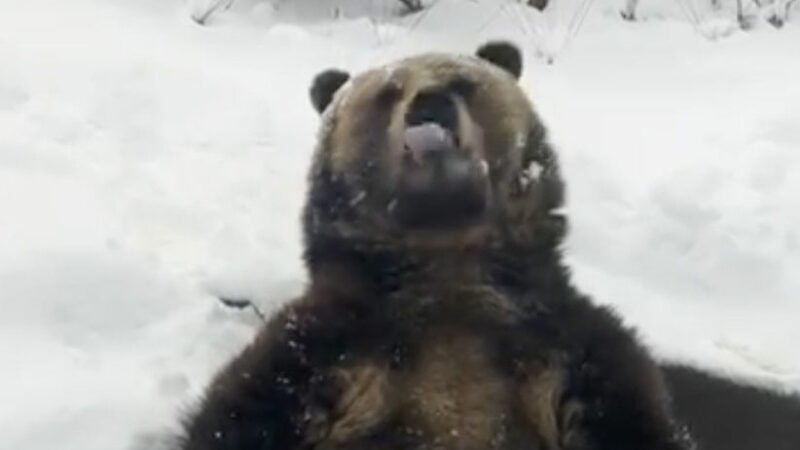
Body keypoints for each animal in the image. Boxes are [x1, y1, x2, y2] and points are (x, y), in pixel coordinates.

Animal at [175, 42, 692, 450]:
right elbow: (238, 419)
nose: (430, 103)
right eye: (387, 93)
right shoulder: (324, 350)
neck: (447, 265)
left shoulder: (568, 351)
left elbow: (631, 419)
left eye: (462, 81)